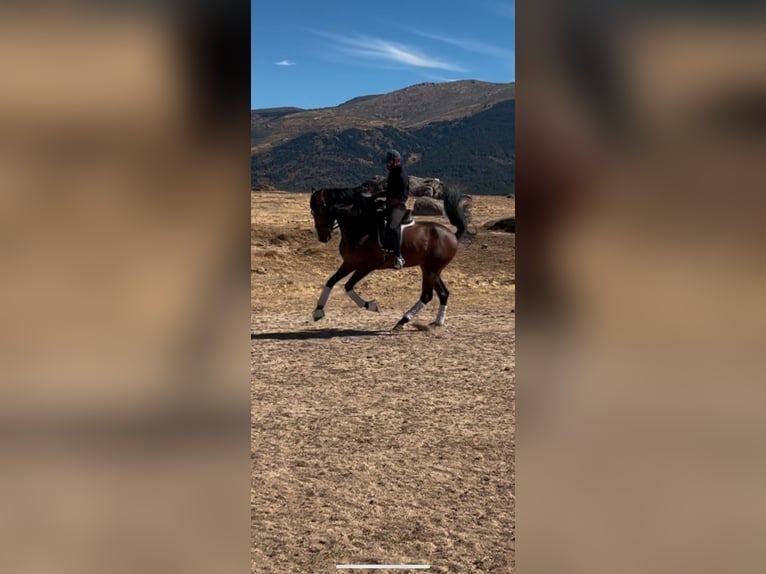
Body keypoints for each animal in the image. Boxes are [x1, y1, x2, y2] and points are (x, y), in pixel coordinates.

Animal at [309, 184, 471, 330]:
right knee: (443, 293)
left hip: (432, 270)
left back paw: (402, 321)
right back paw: (437, 322)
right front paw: (318, 311)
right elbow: (331, 282)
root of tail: (452, 235)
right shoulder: (349, 263)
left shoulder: (365, 266)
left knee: (427, 295)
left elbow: (348, 286)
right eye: (312, 211)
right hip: (429, 268)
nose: (323, 237)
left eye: (319, 210)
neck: (360, 226)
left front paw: (371, 305)